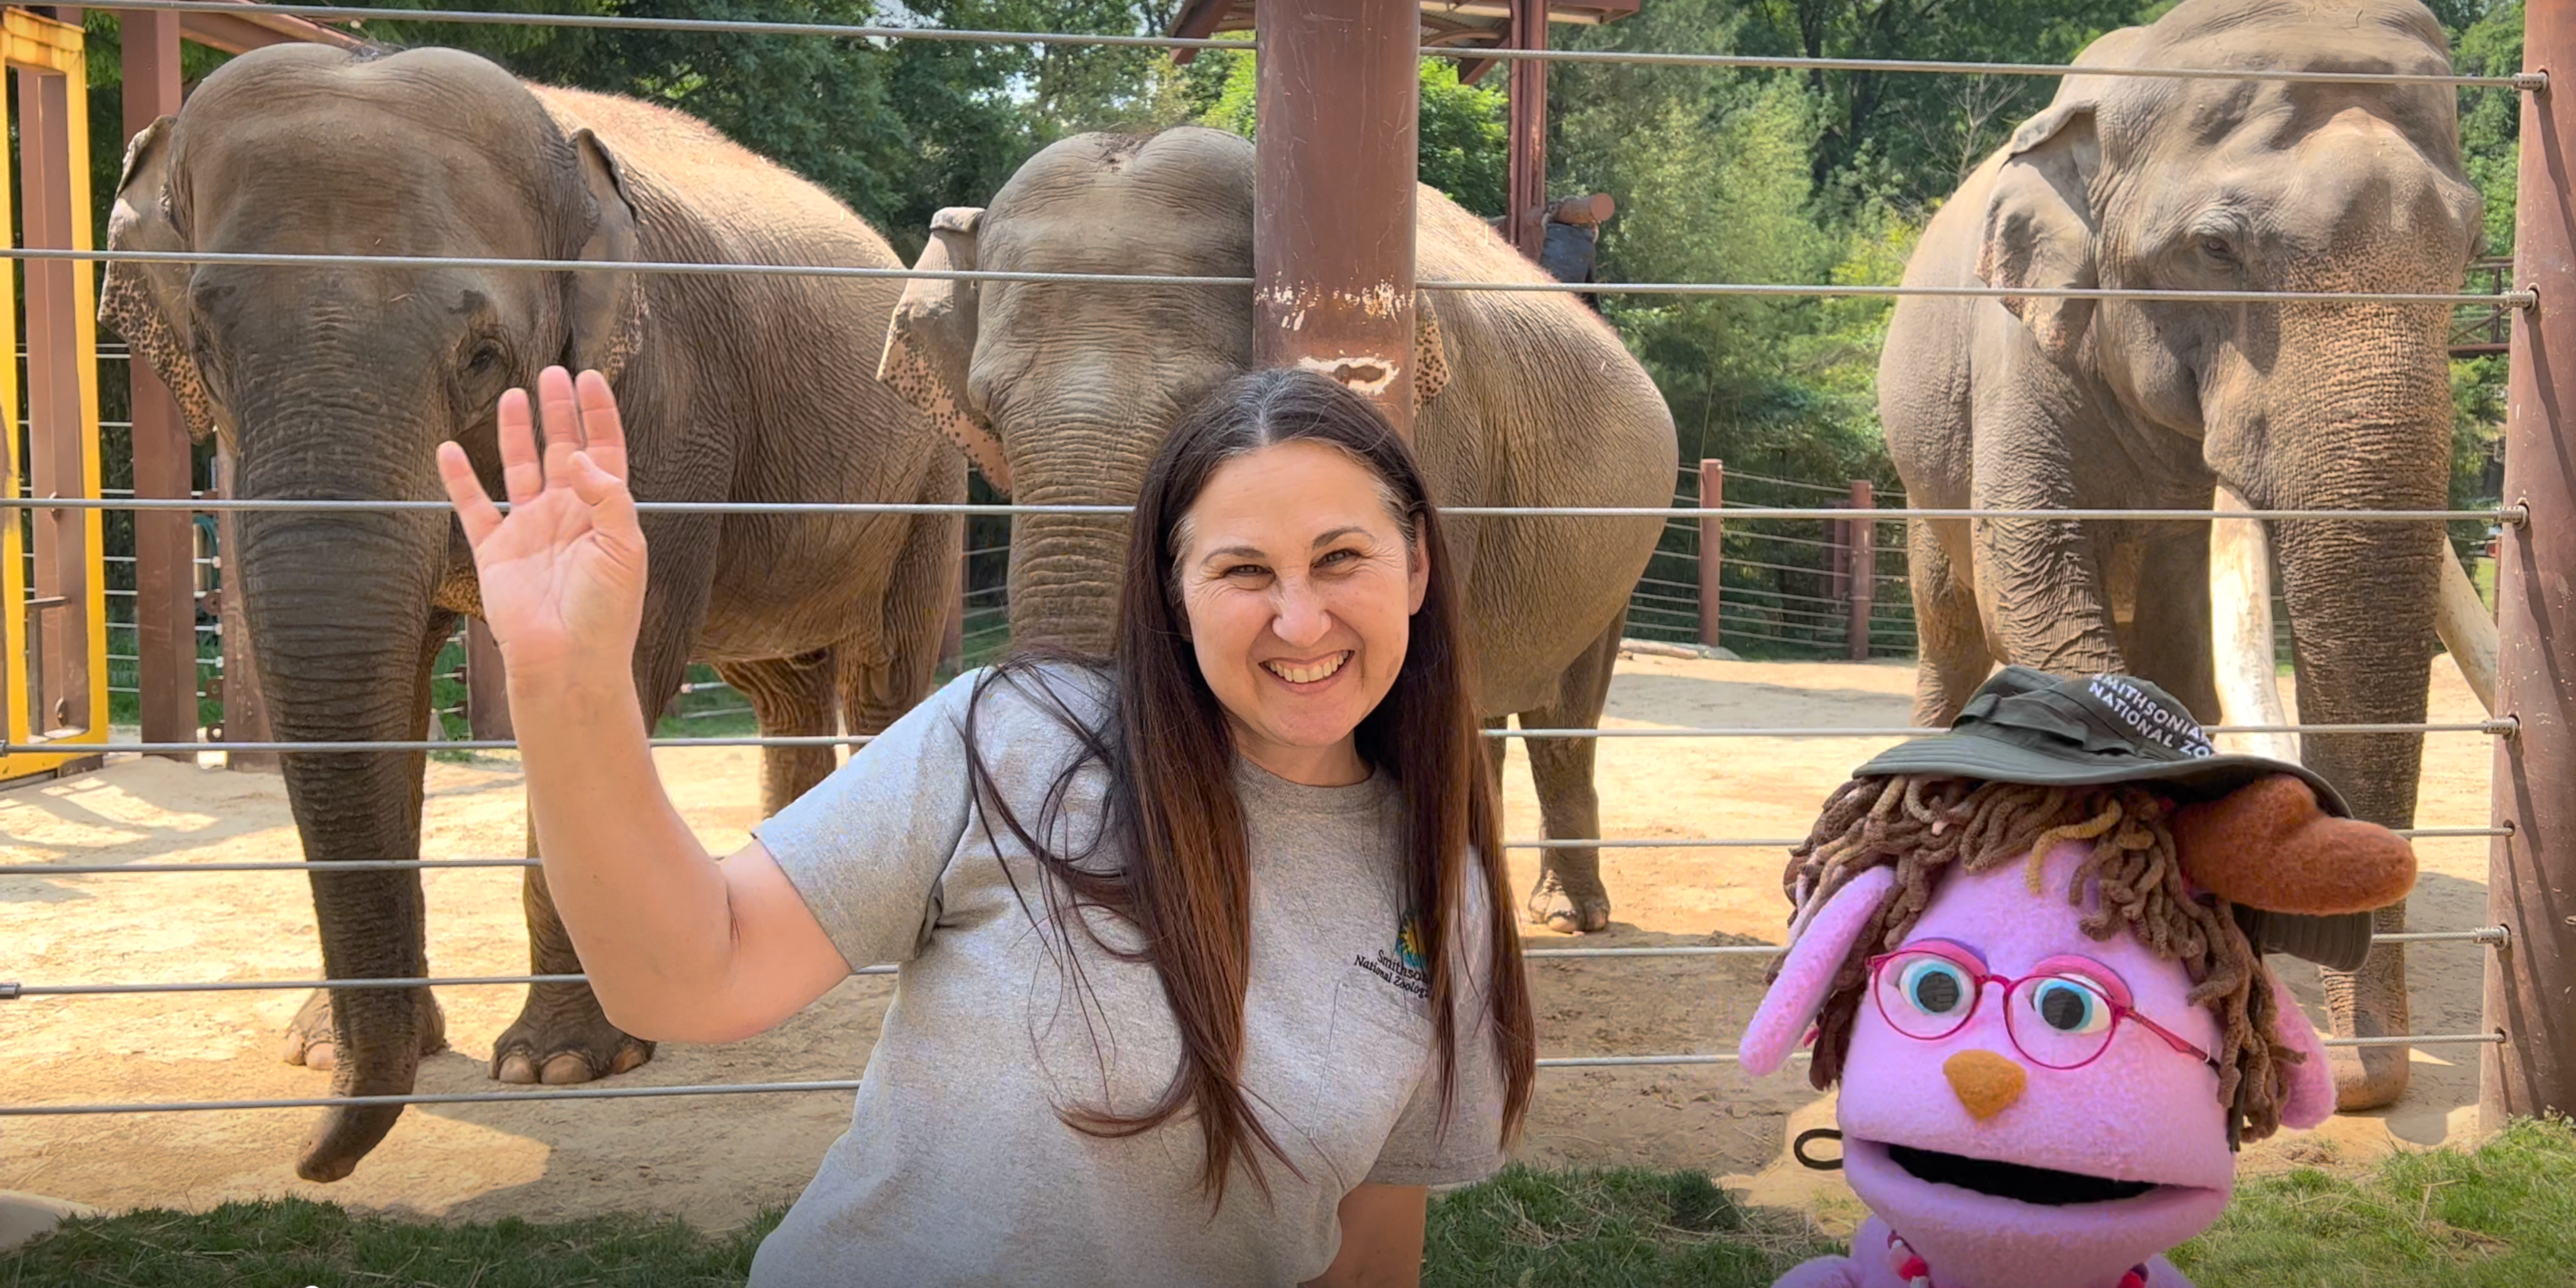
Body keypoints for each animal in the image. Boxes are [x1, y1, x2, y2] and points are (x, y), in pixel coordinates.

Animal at [98, 45, 968, 1180]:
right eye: (204, 340)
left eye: (480, 355)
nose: (311, 1160)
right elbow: (391, 691)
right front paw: (325, 1047)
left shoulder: (660, 405)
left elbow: (618, 663)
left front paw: (560, 1065)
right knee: (780, 678)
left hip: (929, 470)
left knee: (884, 674)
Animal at [886, 128, 1679, 937]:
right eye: (987, 408)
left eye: (1204, 400)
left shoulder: (1435, 446)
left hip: (1615, 546)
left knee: (1565, 715)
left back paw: (1568, 917)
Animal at [1875, 0, 2493, 1108]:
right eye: (2214, 248)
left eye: (2471, 248)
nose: (2360, 1076)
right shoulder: (2018, 351)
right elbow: (2033, 578)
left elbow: (2182, 648)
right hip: (1921, 465)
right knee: (1949, 620)